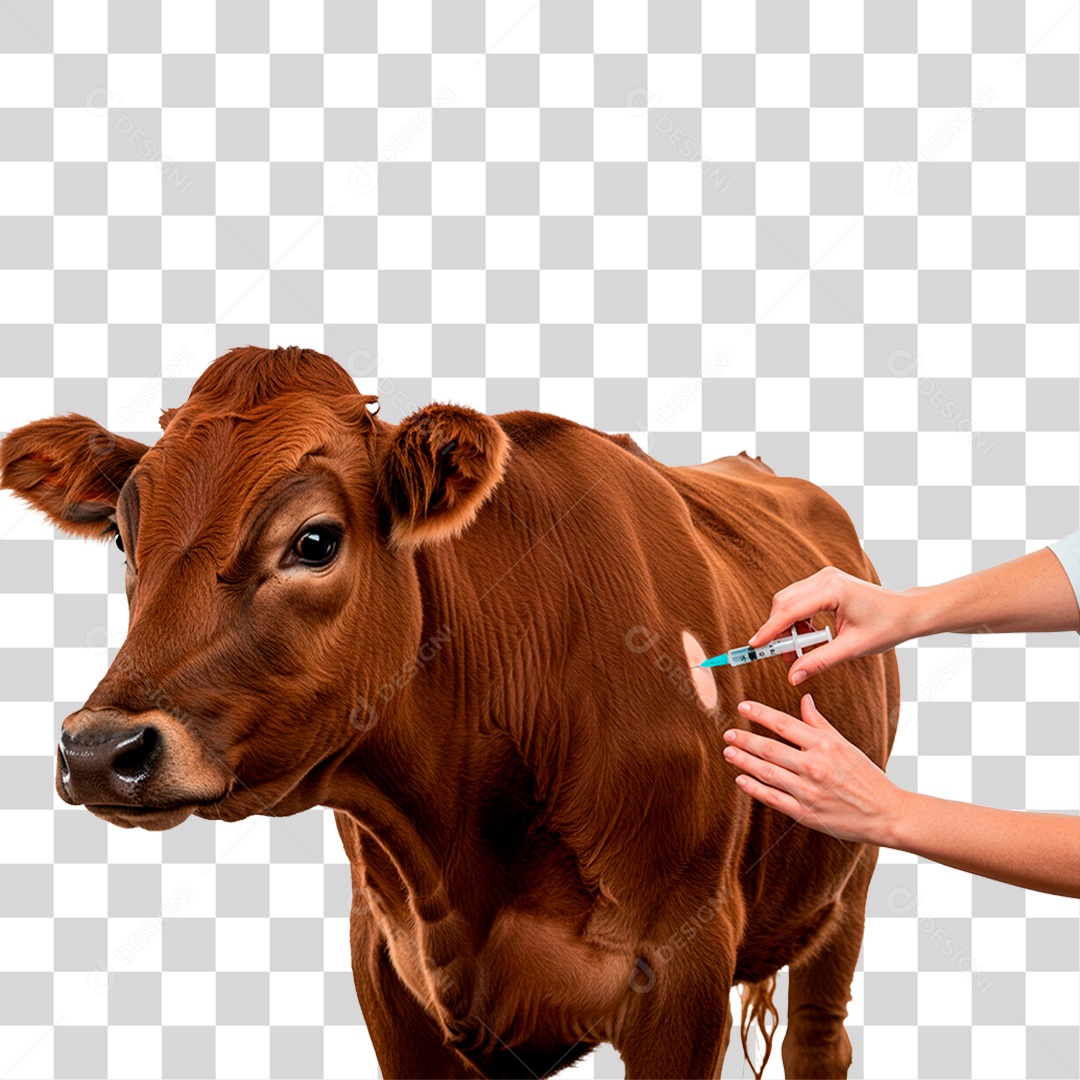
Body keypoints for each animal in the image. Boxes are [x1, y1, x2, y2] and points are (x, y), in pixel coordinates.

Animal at [1, 347, 899, 1079]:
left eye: (315, 541)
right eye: (123, 539)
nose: (99, 750)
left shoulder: (686, 970)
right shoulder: (388, 968)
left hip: (849, 881)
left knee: (820, 1040)